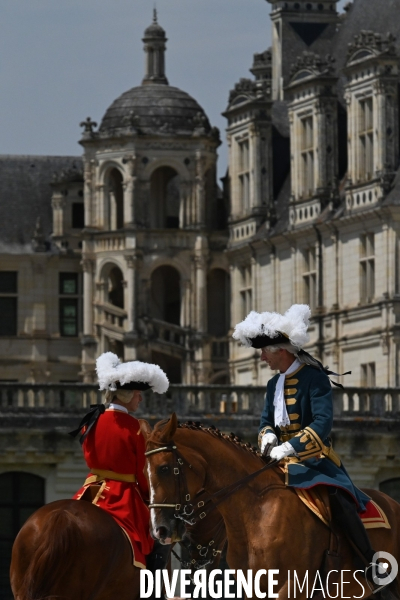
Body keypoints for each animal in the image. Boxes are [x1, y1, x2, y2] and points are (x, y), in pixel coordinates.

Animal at [145, 418, 400, 600]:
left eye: (165, 468)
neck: (256, 512)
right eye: (146, 471)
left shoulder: (291, 588)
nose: (160, 531)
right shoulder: (252, 589)